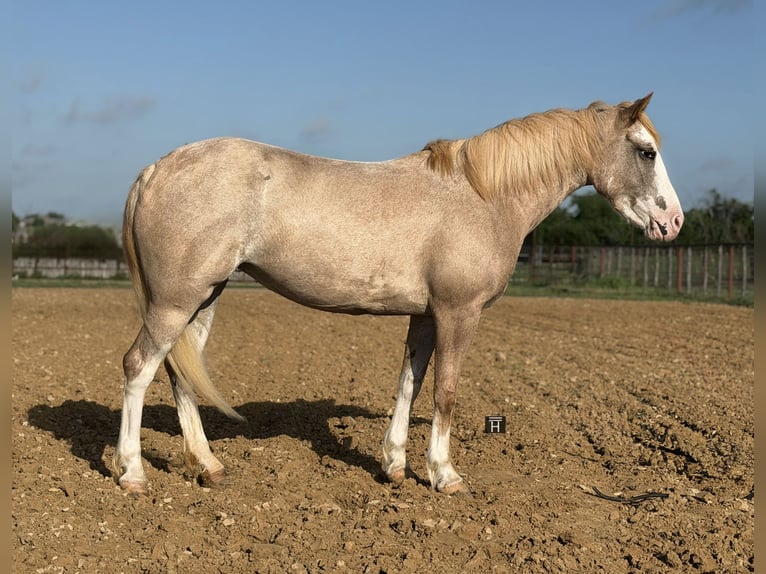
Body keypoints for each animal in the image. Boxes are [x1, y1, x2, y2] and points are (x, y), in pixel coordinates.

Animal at [113, 93, 683, 495]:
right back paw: (132, 473)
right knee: (139, 366)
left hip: (202, 299)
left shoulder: (426, 316)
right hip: (175, 302)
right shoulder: (458, 314)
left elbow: (410, 381)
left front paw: (394, 465)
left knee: (180, 373)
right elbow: (445, 391)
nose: (673, 222)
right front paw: (444, 475)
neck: (483, 197)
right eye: (646, 151)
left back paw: (207, 465)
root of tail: (156, 168)